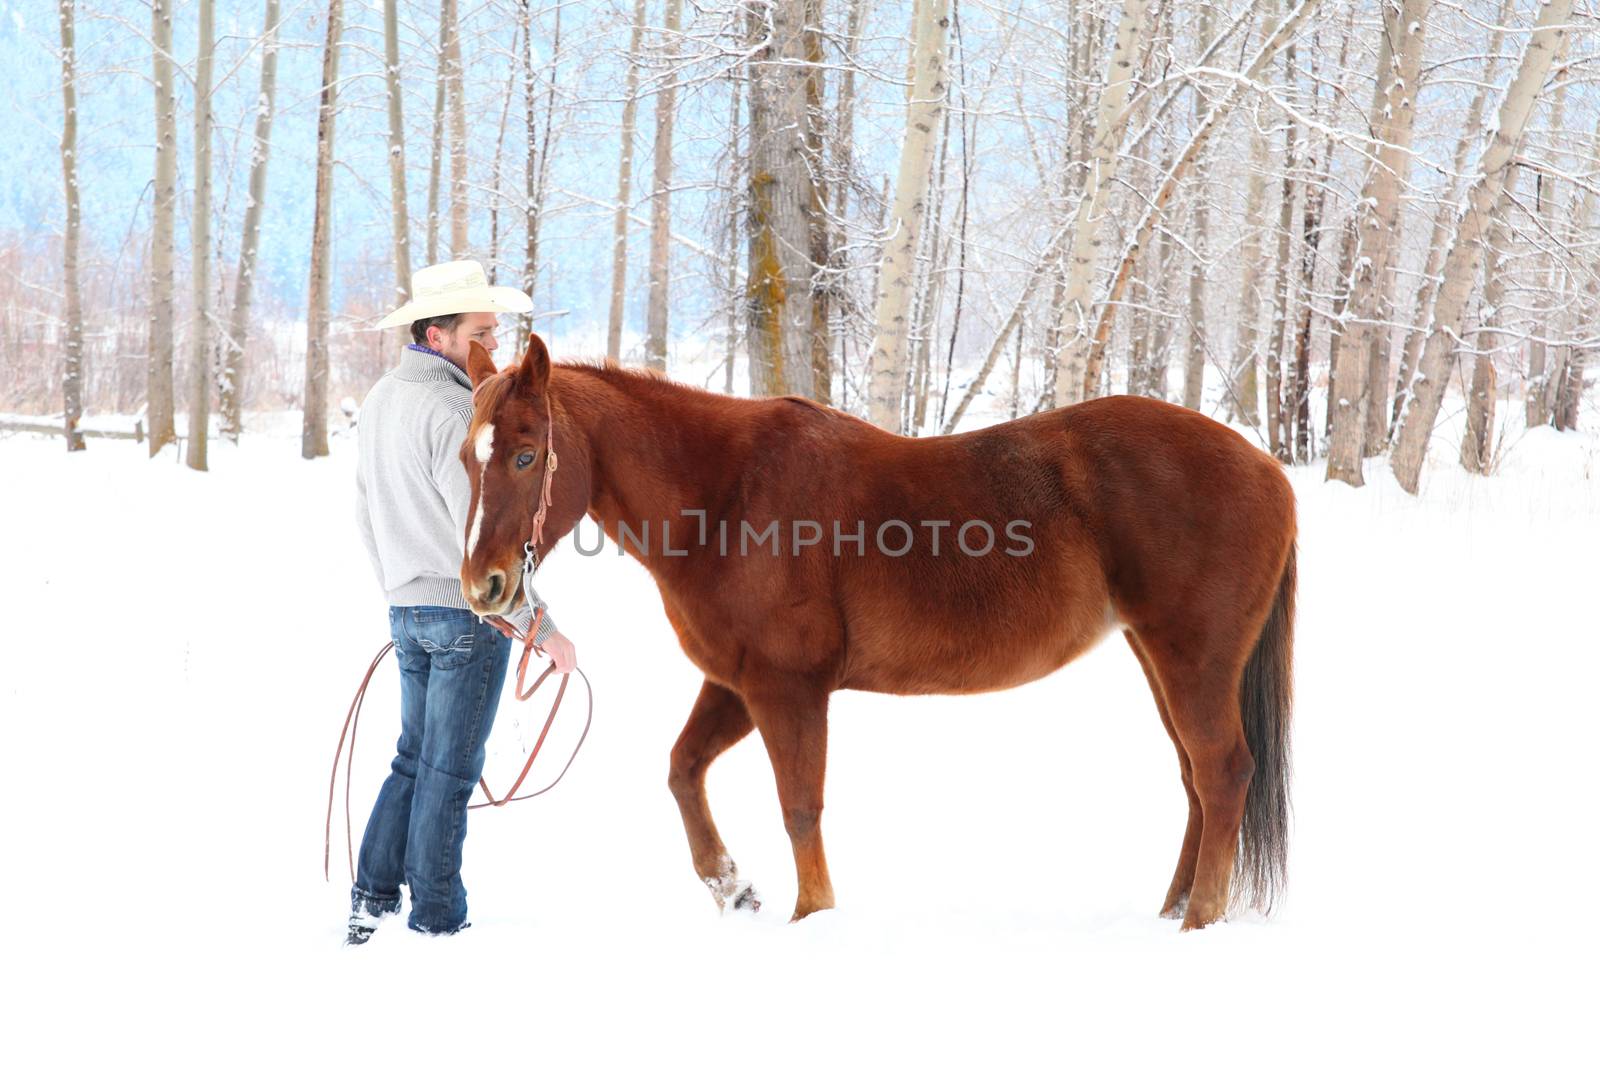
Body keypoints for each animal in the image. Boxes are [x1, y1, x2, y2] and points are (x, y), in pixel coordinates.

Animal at [457, 337, 1292, 927]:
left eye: (527, 454)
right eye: (468, 455)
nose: (483, 587)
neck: (726, 499)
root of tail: (1267, 468)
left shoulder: (787, 688)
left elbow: (800, 803)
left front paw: (813, 913)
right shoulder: (736, 683)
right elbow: (682, 768)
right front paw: (732, 886)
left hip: (1193, 659)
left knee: (1222, 773)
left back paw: (1200, 920)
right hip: (1157, 654)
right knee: (1194, 779)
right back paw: (1175, 908)